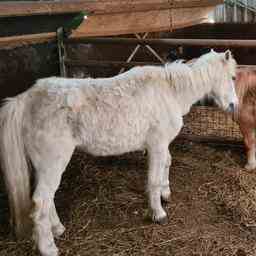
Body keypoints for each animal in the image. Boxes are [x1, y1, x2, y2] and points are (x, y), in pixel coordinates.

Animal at [0, 49, 238, 255]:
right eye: (233, 77)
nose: (234, 105)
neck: (170, 91)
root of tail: (26, 100)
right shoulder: (157, 145)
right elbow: (153, 179)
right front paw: (158, 213)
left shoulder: (162, 145)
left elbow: (166, 164)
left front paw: (165, 193)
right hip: (52, 163)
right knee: (41, 202)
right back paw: (49, 248)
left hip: (45, 167)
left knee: (47, 199)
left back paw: (58, 229)